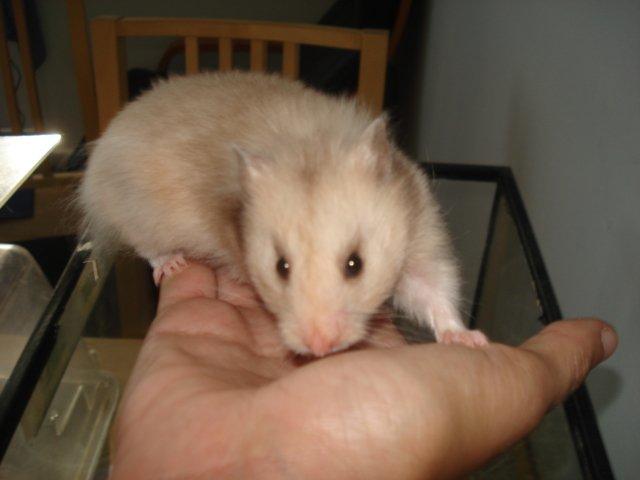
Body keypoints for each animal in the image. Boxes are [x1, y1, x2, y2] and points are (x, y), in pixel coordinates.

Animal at [79, 71, 488, 356]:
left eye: (355, 264)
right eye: (281, 267)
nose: (319, 347)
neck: (308, 144)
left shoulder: (418, 236)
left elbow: (433, 290)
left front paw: (469, 339)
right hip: (134, 211)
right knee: (146, 247)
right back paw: (173, 264)